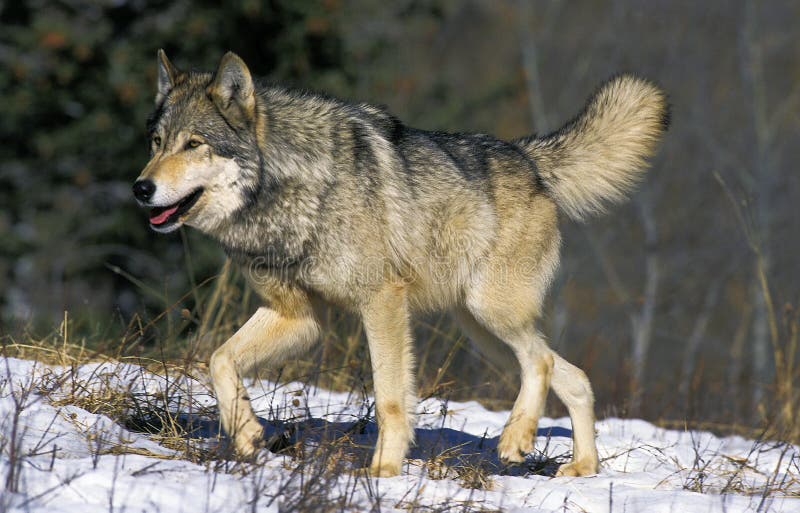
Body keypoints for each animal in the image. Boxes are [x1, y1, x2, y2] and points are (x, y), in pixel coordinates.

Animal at [136, 49, 668, 476]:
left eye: (194, 144)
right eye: (157, 142)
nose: (141, 188)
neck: (289, 190)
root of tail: (527, 156)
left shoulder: (382, 301)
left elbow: (391, 398)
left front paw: (384, 471)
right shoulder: (301, 318)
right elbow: (219, 360)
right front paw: (246, 434)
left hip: (491, 315)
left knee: (541, 361)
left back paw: (516, 440)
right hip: (485, 335)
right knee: (572, 376)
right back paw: (581, 467)